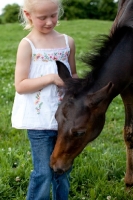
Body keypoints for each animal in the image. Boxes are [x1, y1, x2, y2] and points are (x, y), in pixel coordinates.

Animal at [50, 0, 133, 188]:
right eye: (56, 119)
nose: (55, 166)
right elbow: (129, 133)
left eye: (80, 132)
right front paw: (129, 184)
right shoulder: (127, 89)